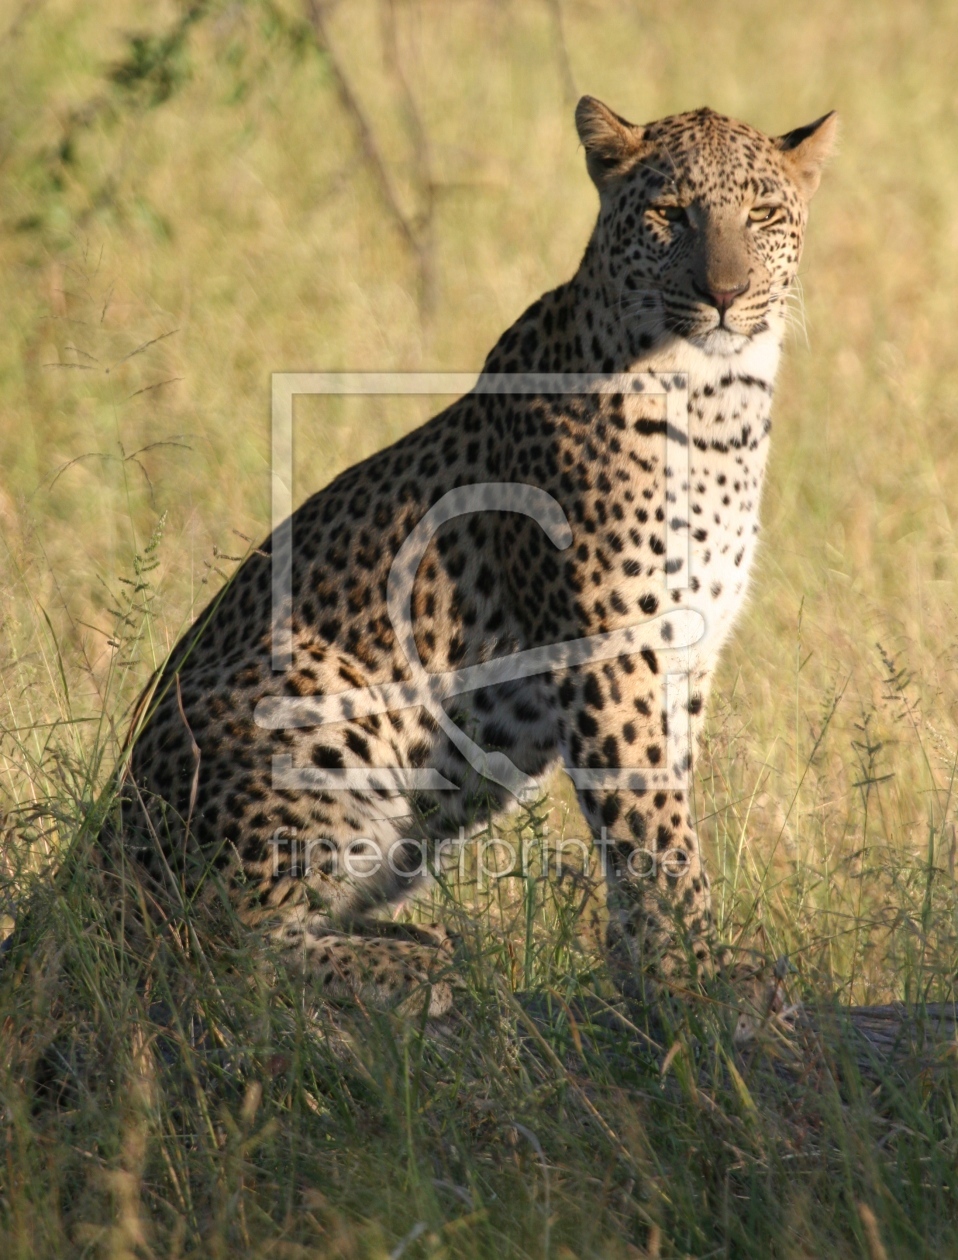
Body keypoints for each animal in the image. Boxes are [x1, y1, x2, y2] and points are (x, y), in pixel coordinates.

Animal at [115, 98, 836, 1023]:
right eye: (671, 213)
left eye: (764, 215)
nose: (725, 294)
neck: (720, 406)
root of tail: (95, 854)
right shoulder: (610, 648)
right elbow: (651, 826)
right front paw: (691, 980)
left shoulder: (687, 650)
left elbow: (662, 812)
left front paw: (656, 969)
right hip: (312, 689)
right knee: (208, 950)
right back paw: (419, 970)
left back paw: (426, 941)